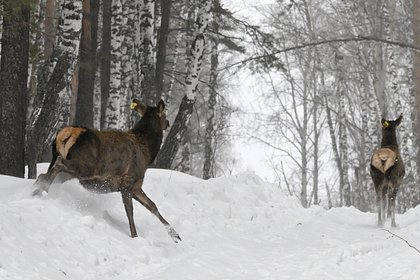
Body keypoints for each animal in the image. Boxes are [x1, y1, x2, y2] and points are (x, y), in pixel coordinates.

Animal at [33, 100, 181, 243]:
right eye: (164, 115)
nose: (168, 122)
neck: (148, 154)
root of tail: (68, 132)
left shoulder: (135, 187)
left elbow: (152, 206)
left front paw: (176, 236)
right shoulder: (128, 182)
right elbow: (130, 212)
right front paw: (135, 236)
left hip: (69, 171)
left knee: (43, 174)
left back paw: (37, 191)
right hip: (84, 167)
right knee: (57, 165)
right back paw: (43, 190)